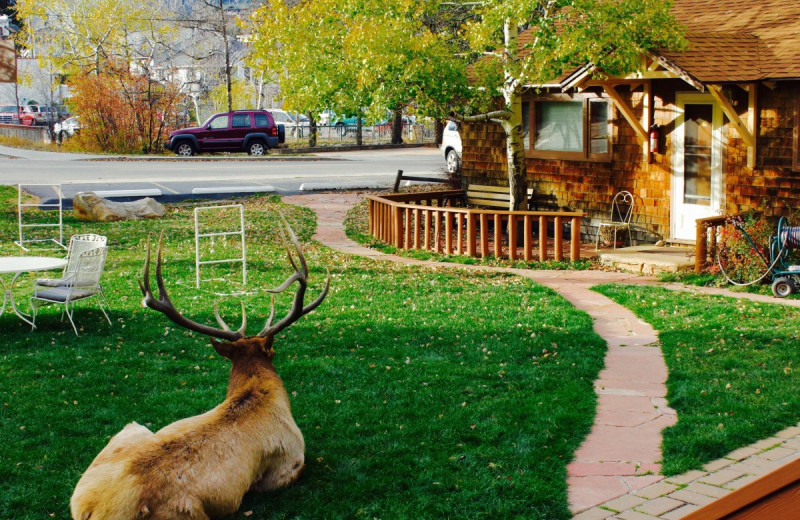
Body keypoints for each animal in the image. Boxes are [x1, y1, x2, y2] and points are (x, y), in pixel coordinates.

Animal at [71, 223, 328, 520]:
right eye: (272, 352)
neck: (258, 391)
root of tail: (91, 508)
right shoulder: (290, 460)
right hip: (190, 512)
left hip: (131, 430)